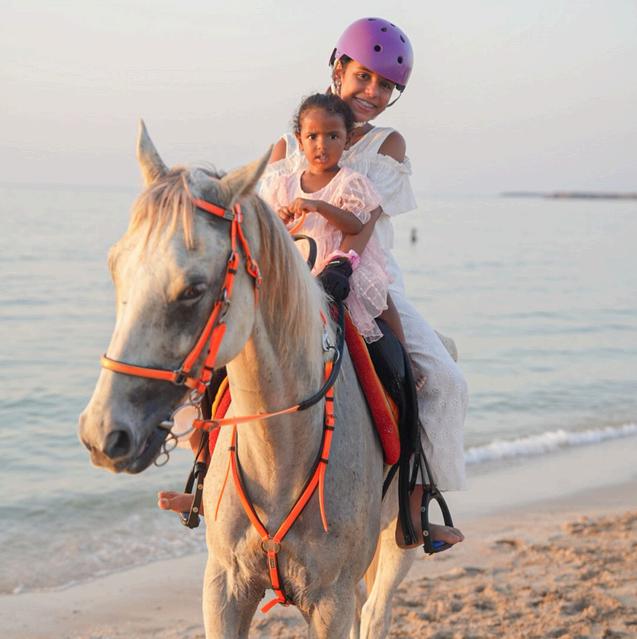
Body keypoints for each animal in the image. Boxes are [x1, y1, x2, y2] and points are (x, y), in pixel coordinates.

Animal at [78, 122, 417, 638]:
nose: (102, 434)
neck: (280, 450)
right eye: (117, 268)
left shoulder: (331, 601)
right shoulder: (224, 588)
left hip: (397, 542)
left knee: (377, 610)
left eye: (194, 289)